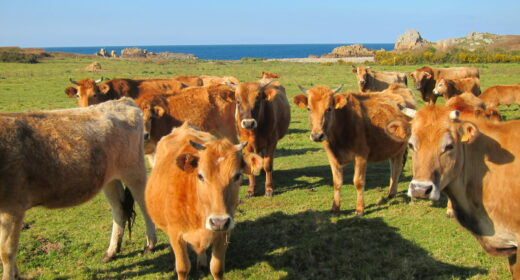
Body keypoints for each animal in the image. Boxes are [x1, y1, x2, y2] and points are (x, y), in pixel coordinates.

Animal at [0, 98, 156, 280]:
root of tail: (122, 101)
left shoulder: (13, 207)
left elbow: (7, 252)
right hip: (110, 179)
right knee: (119, 210)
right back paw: (111, 251)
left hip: (134, 171)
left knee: (144, 205)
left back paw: (150, 245)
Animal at [144, 122, 262, 280]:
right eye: (200, 175)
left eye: (237, 176)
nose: (219, 222)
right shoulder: (176, 234)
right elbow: (183, 268)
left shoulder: (224, 233)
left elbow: (217, 268)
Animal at [292, 85, 410, 214]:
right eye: (309, 108)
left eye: (329, 109)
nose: (317, 136)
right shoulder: (332, 157)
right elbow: (337, 182)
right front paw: (335, 207)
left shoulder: (361, 155)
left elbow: (358, 182)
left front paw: (360, 209)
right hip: (391, 148)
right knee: (393, 166)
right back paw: (390, 192)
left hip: (401, 148)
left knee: (397, 168)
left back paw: (392, 192)